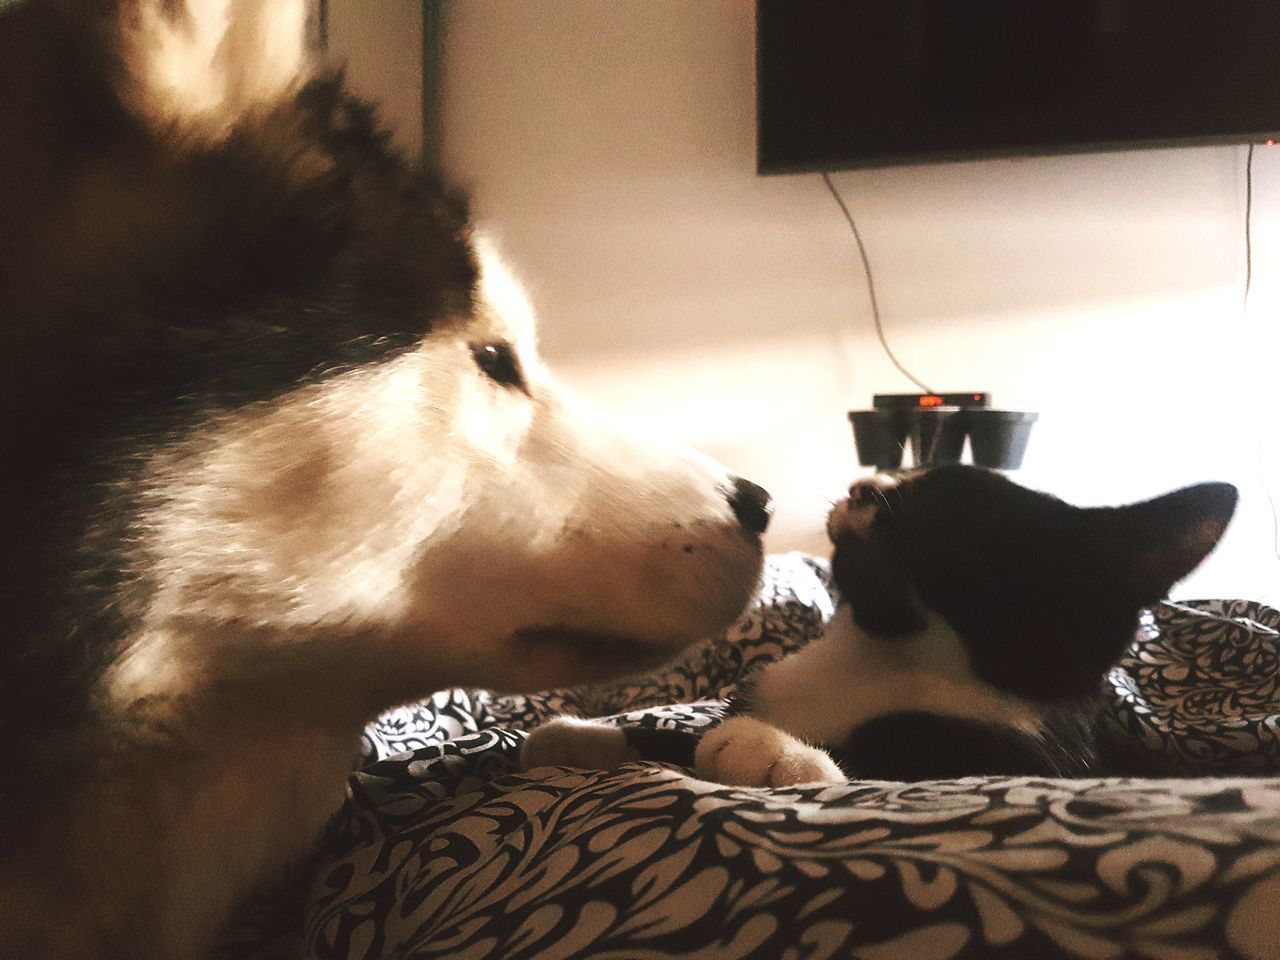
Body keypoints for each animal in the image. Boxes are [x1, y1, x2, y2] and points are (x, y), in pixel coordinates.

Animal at [522, 468, 1239, 788]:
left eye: (937, 500)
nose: (866, 482)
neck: (876, 652)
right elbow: (669, 735)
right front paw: (582, 736)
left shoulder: (1005, 759)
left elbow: (863, 774)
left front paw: (769, 750)